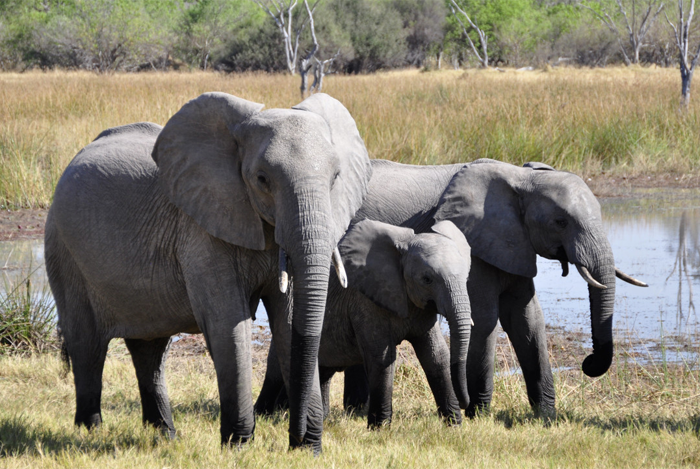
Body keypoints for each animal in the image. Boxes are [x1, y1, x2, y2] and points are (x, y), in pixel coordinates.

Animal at [43, 89, 372, 452]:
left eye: (336, 178)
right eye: (262, 179)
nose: (297, 437)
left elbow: (288, 322)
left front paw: (307, 450)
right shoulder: (201, 230)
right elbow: (228, 323)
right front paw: (238, 446)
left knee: (149, 348)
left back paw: (165, 435)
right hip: (62, 247)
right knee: (87, 343)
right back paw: (90, 431)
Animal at [260, 218, 474, 426]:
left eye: (466, 276)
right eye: (427, 279)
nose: (465, 403)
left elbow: (436, 356)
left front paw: (454, 424)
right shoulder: (364, 302)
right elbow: (382, 358)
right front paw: (380, 428)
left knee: (323, 371)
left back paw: (320, 418)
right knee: (277, 371)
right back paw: (264, 417)